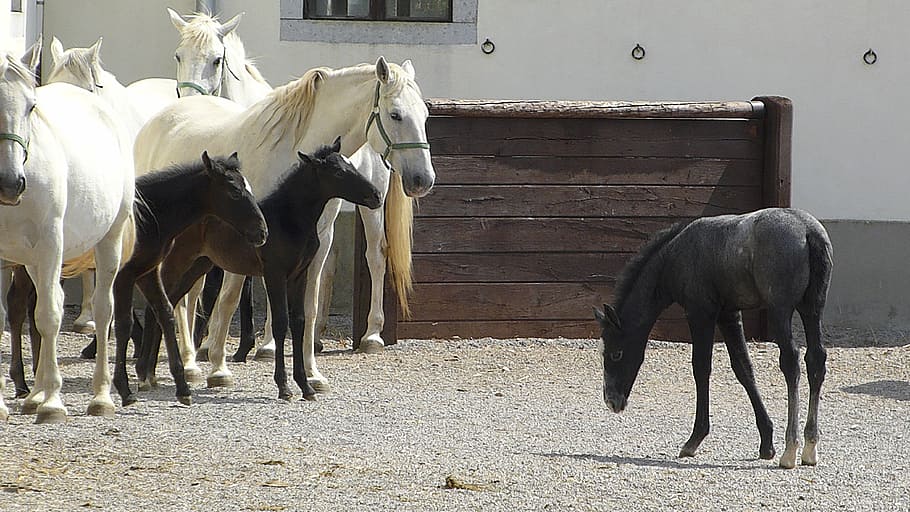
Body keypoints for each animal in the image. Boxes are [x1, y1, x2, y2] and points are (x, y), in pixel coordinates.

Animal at [0, 40, 136, 424]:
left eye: (31, 106)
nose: (10, 184)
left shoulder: (51, 244)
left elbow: (48, 317)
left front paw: (52, 404)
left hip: (106, 244)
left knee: (102, 311)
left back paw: (100, 396)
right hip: (33, 262)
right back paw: (34, 393)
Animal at [110, 152, 267, 406]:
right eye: (234, 191)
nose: (262, 232)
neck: (149, 214)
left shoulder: (145, 271)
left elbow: (165, 312)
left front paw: (181, 387)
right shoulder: (124, 275)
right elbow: (124, 324)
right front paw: (124, 388)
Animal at [130, 140, 381, 402]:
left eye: (351, 165)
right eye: (338, 172)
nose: (376, 196)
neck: (289, 219)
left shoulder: (299, 275)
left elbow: (299, 321)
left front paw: (306, 386)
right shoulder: (274, 274)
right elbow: (280, 323)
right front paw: (284, 387)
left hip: (199, 265)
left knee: (166, 302)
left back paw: (150, 374)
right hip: (177, 262)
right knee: (157, 307)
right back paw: (145, 373)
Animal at [593, 208, 833, 469]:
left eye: (616, 353)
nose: (611, 401)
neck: (675, 255)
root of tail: (808, 231)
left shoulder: (701, 312)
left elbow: (701, 368)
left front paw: (694, 439)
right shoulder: (729, 314)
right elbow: (743, 369)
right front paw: (766, 442)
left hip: (780, 309)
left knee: (790, 362)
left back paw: (791, 449)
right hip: (812, 309)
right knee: (815, 360)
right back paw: (810, 447)